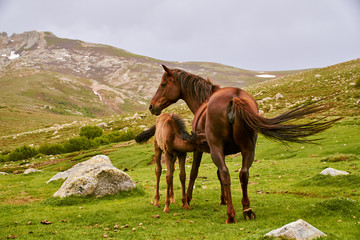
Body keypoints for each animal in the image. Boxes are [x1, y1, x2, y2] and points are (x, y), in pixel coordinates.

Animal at [148, 64, 338, 224]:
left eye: (163, 84)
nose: (151, 106)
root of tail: (235, 98)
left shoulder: (201, 149)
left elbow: (196, 173)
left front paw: (187, 199)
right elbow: (218, 175)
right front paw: (223, 199)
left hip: (217, 148)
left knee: (226, 174)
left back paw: (231, 215)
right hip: (248, 150)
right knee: (243, 174)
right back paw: (246, 209)